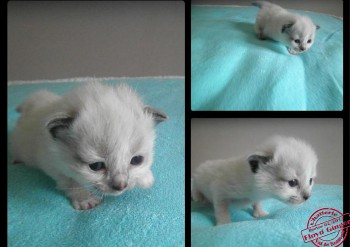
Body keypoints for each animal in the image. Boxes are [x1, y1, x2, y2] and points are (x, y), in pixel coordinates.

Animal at [11, 81, 167, 210]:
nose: (121, 186)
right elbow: (71, 181)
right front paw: (86, 199)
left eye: (137, 160)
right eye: (96, 166)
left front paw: (146, 177)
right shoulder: (52, 164)